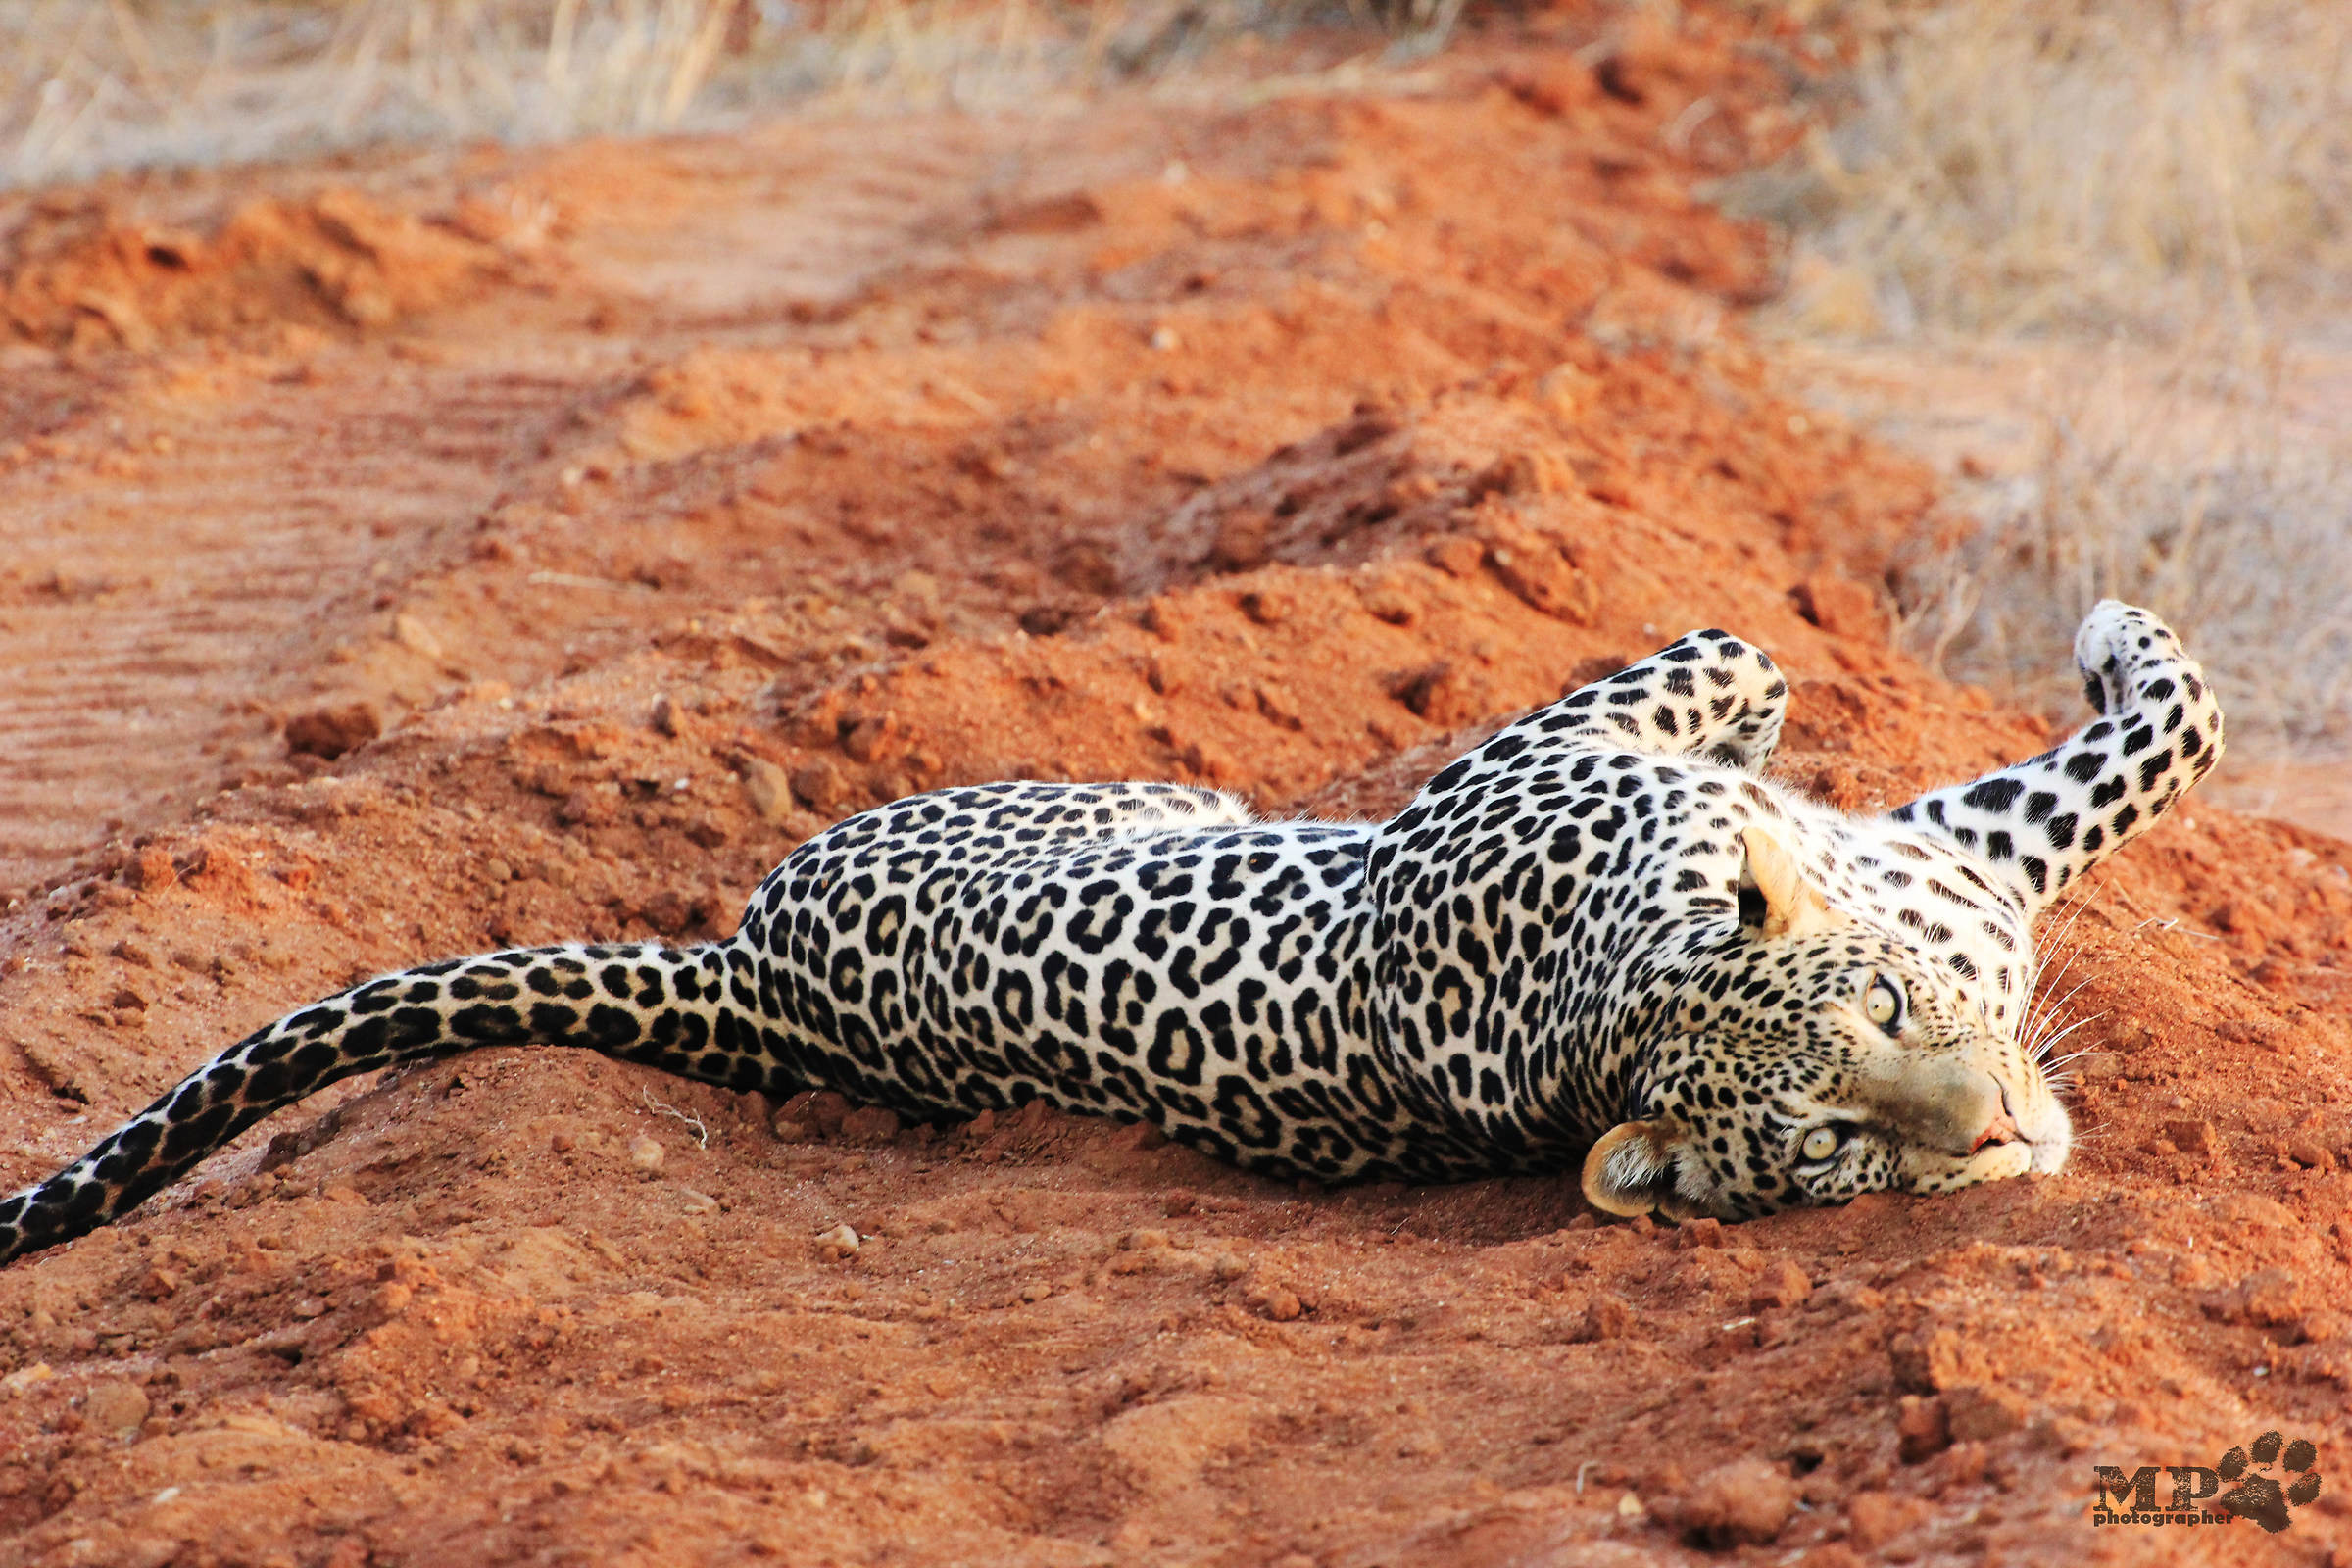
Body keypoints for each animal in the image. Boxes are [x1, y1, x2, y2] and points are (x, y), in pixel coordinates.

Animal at [0, 598, 2222, 1264]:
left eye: (1900, 1012)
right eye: (1836, 1145)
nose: (2003, 1139)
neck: (1613, 986)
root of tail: (753, 975)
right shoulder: (1657, 750)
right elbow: (2148, 729)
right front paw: (2110, 632)